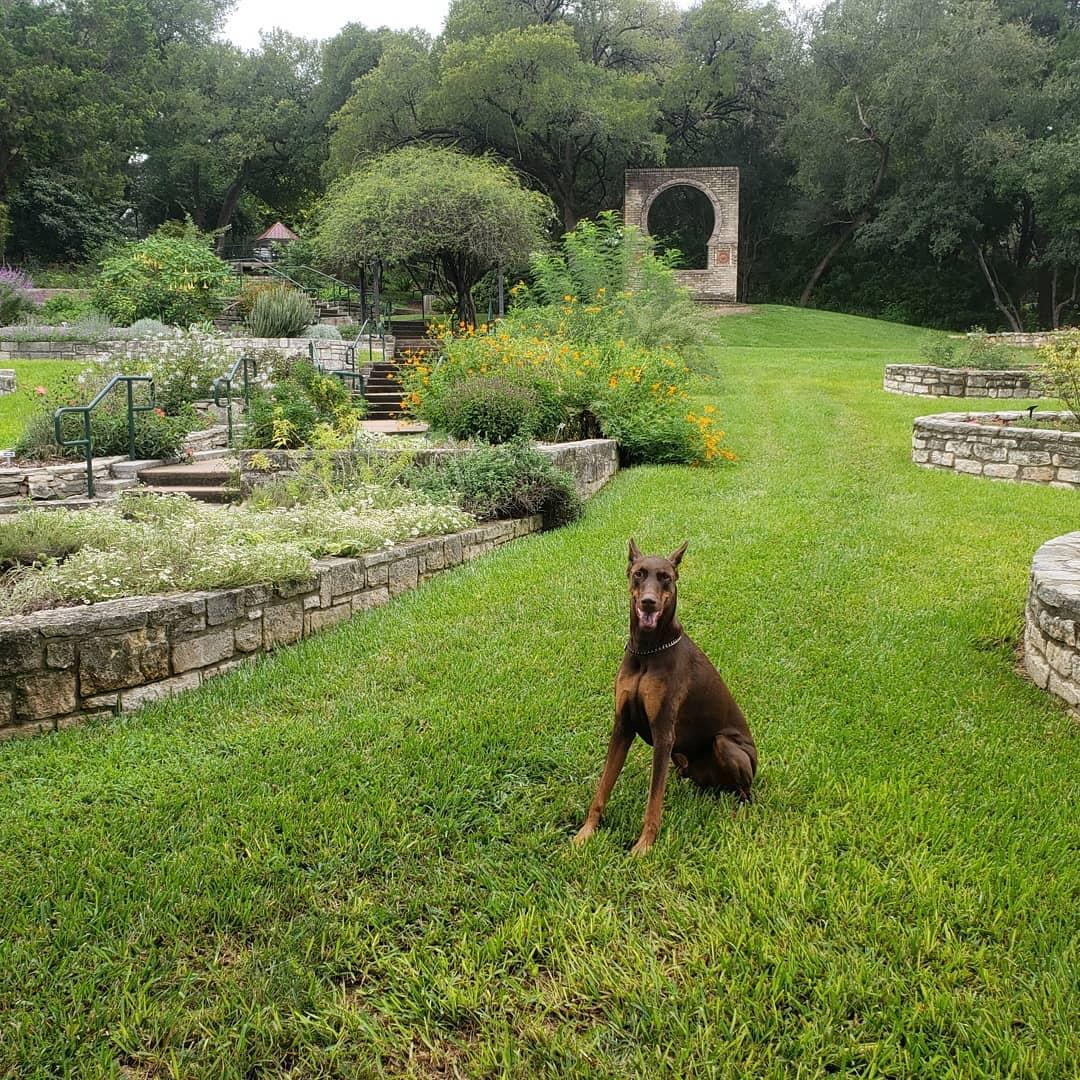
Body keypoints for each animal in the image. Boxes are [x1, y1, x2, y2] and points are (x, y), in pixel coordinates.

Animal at [570, 537, 756, 851]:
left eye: (665, 577)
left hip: (725, 745)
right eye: (639, 574)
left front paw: (643, 847)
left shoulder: (663, 732)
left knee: (746, 792)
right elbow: (603, 787)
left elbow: (653, 801)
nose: (648, 602)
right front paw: (586, 833)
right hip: (680, 756)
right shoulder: (622, 726)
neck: (647, 651)